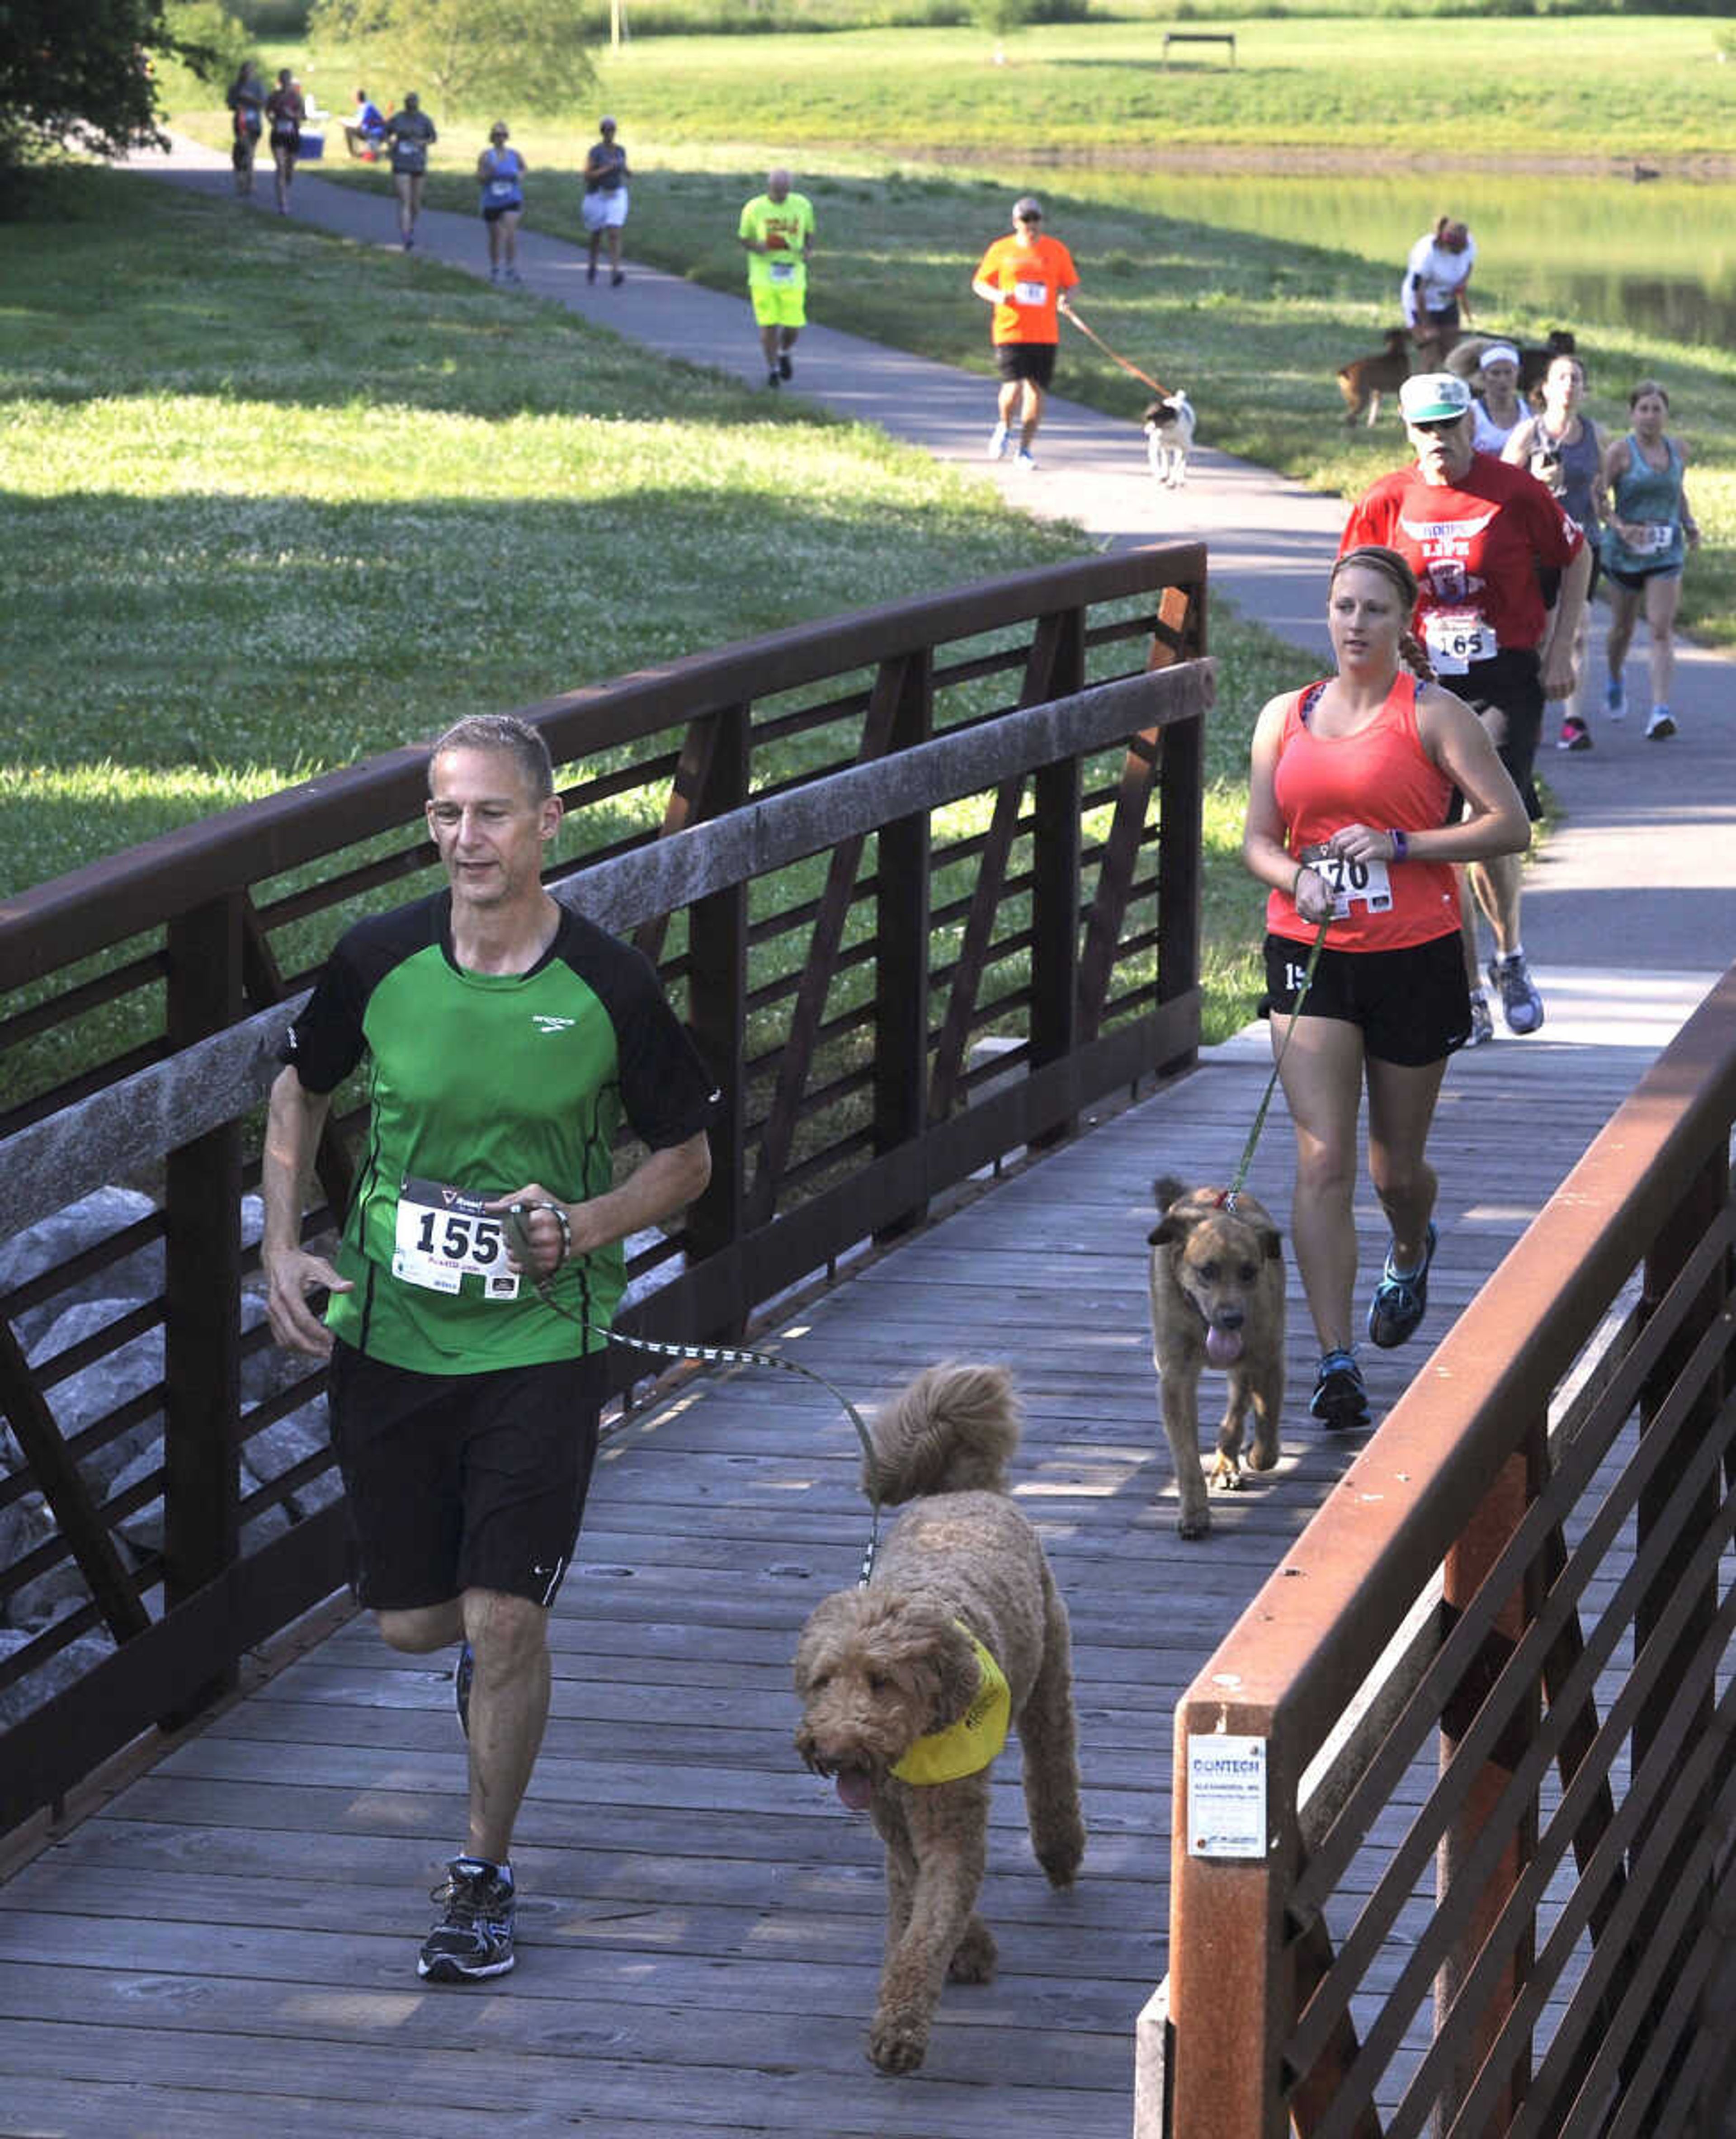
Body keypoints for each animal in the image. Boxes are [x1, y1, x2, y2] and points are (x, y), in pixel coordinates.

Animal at [791, 1360, 1086, 2079]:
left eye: (882, 1680)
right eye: (823, 1679)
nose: (833, 1750)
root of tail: (967, 1490)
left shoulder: (947, 1821)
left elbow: (932, 1917)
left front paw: (900, 2028)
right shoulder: (894, 1820)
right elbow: (919, 1897)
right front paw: (967, 1947)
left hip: (1049, 1681)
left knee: (1052, 1766)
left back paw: (1061, 1850)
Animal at [1137, 393, 1197, 490]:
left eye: (1157, 418)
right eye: (1149, 418)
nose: (1146, 431)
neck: (1168, 428)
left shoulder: (1183, 448)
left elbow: (1177, 466)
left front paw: (1171, 483)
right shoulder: (1155, 447)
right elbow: (1156, 463)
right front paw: (1159, 476)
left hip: (1184, 448)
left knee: (1182, 463)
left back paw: (1180, 479)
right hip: (1166, 448)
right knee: (1166, 459)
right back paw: (1165, 475)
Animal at [1154, 1172, 1291, 1540]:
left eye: (1249, 1272)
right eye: (1207, 1271)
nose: (1232, 1319)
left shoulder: (1268, 1359)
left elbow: (1267, 1423)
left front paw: (1257, 1456)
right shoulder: (1175, 1378)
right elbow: (1186, 1456)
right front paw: (1195, 1513)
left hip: (1246, 1364)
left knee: (1237, 1414)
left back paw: (1231, 1460)